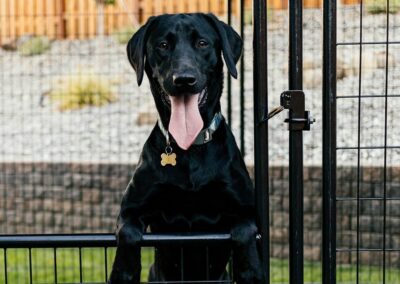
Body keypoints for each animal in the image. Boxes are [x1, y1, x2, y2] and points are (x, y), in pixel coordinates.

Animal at [109, 13, 264, 284]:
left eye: (202, 43)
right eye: (162, 45)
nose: (183, 79)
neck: (189, 147)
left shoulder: (245, 209)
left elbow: (245, 231)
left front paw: (251, 270)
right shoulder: (130, 210)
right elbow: (128, 234)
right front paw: (123, 273)